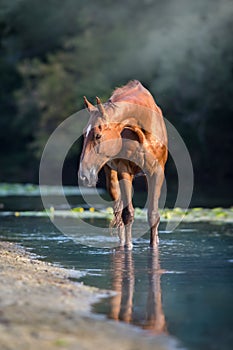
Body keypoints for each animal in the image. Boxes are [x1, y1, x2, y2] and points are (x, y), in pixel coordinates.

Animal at [78, 80, 167, 249]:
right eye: (84, 134)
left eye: (98, 135)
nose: (83, 175)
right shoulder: (124, 171)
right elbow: (127, 214)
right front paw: (128, 246)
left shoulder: (156, 172)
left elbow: (153, 214)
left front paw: (154, 246)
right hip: (112, 179)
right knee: (118, 211)